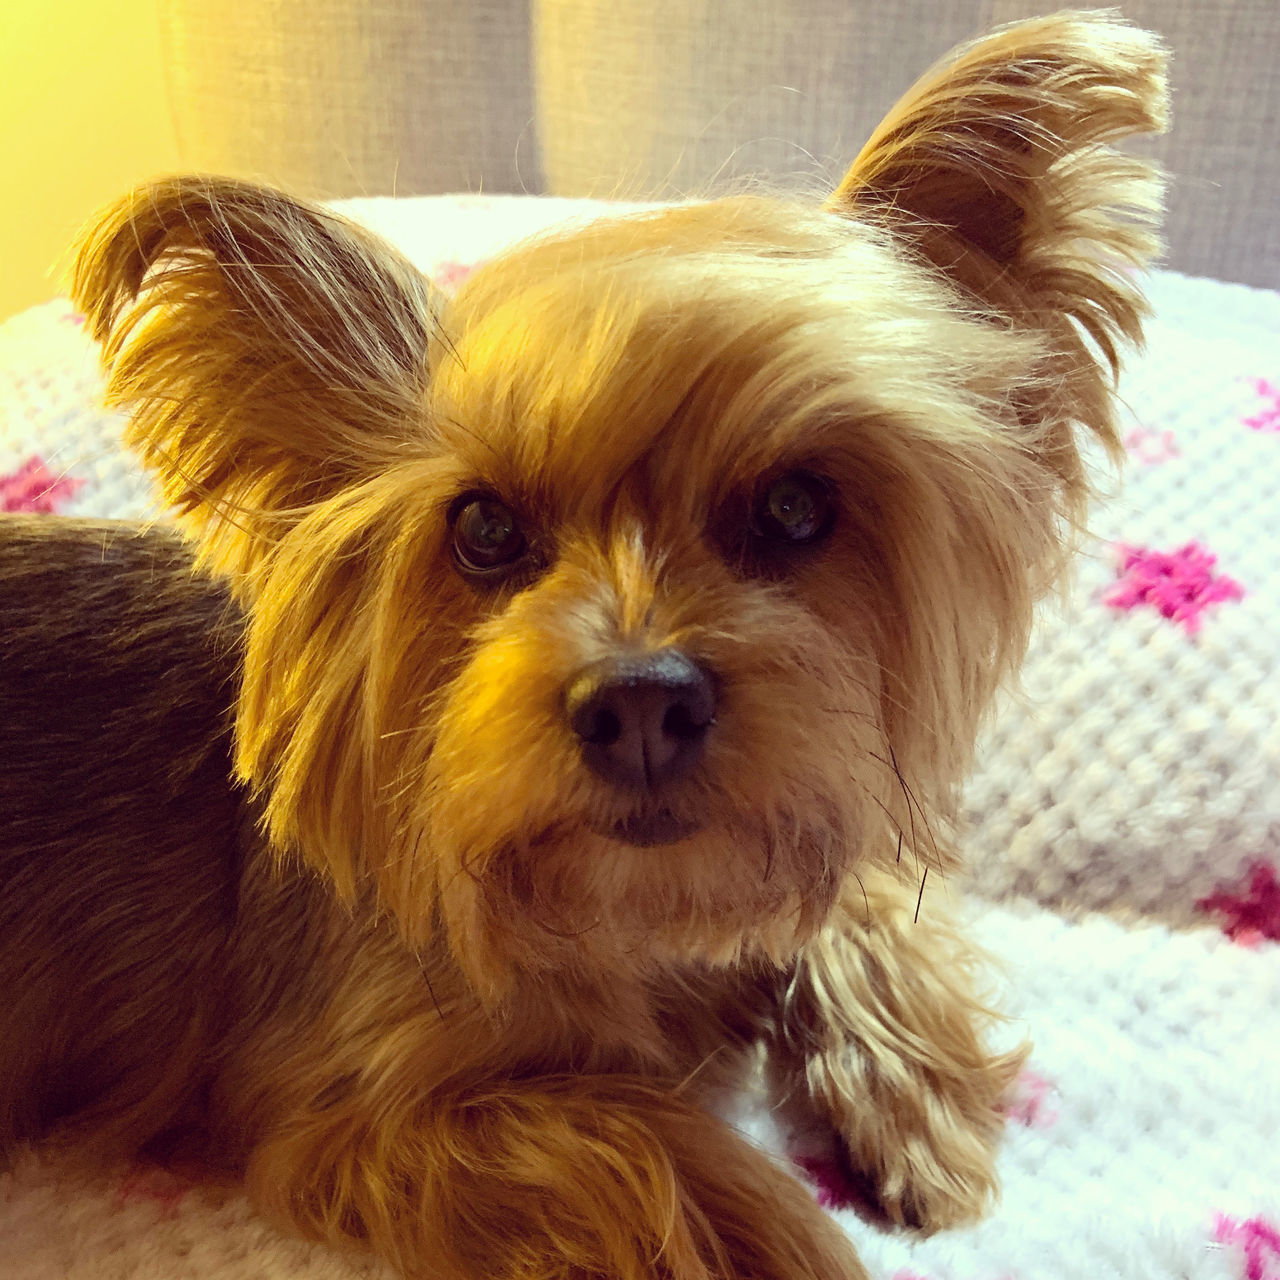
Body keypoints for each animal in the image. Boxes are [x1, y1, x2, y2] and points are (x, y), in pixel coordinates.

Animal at [0, 12, 1167, 1280]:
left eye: (795, 506)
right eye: (483, 529)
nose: (640, 703)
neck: (625, 912)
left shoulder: (809, 796)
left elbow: (842, 867)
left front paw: (913, 1090)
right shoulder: (348, 1107)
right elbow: (658, 1147)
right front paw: (802, 1229)